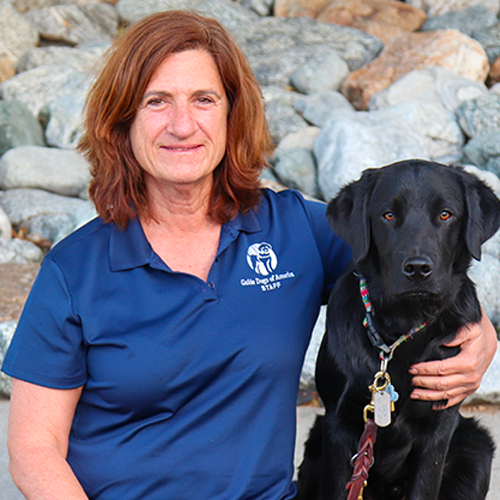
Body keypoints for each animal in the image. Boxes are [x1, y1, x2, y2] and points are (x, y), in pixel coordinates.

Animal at [298, 160, 498, 500]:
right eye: (388, 215)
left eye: (445, 214)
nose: (417, 269)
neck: (399, 327)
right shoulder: (339, 424)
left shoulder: (438, 427)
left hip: (476, 448)